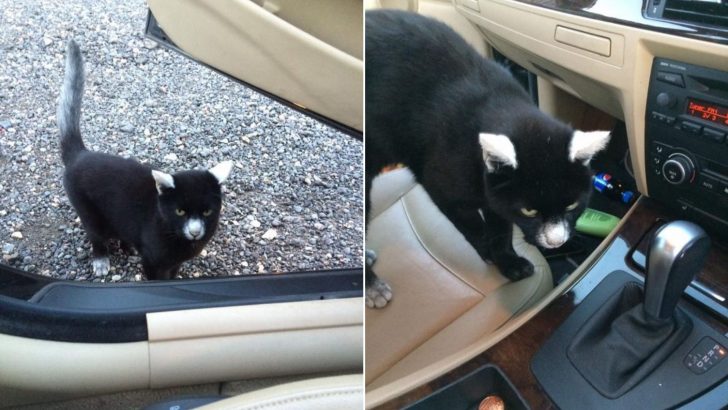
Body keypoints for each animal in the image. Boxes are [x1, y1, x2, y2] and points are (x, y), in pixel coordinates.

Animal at [58, 40, 233, 280]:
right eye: (180, 211)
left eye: (207, 211)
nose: (195, 231)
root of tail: (81, 153)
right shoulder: (152, 261)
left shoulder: (175, 262)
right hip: (89, 213)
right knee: (96, 236)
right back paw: (101, 260)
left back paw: (128, 247)